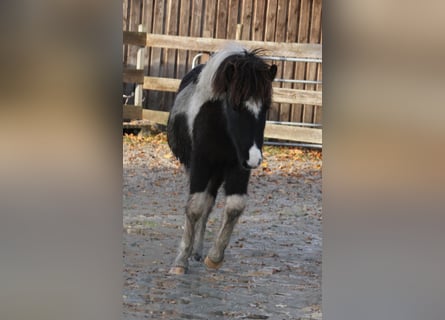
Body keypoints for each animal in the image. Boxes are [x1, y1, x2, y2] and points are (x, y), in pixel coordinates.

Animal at [166, 43, 278, 276]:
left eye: (265, 107)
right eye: (235, 106)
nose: (254, 158)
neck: (221, 128)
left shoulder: (238, 166)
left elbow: (234, 206)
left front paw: (214, 257)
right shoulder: (200, 164)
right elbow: (194, 207)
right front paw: (180, 261)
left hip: (217, 174)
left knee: (208, 205)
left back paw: (199, 251)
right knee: (199, 206)